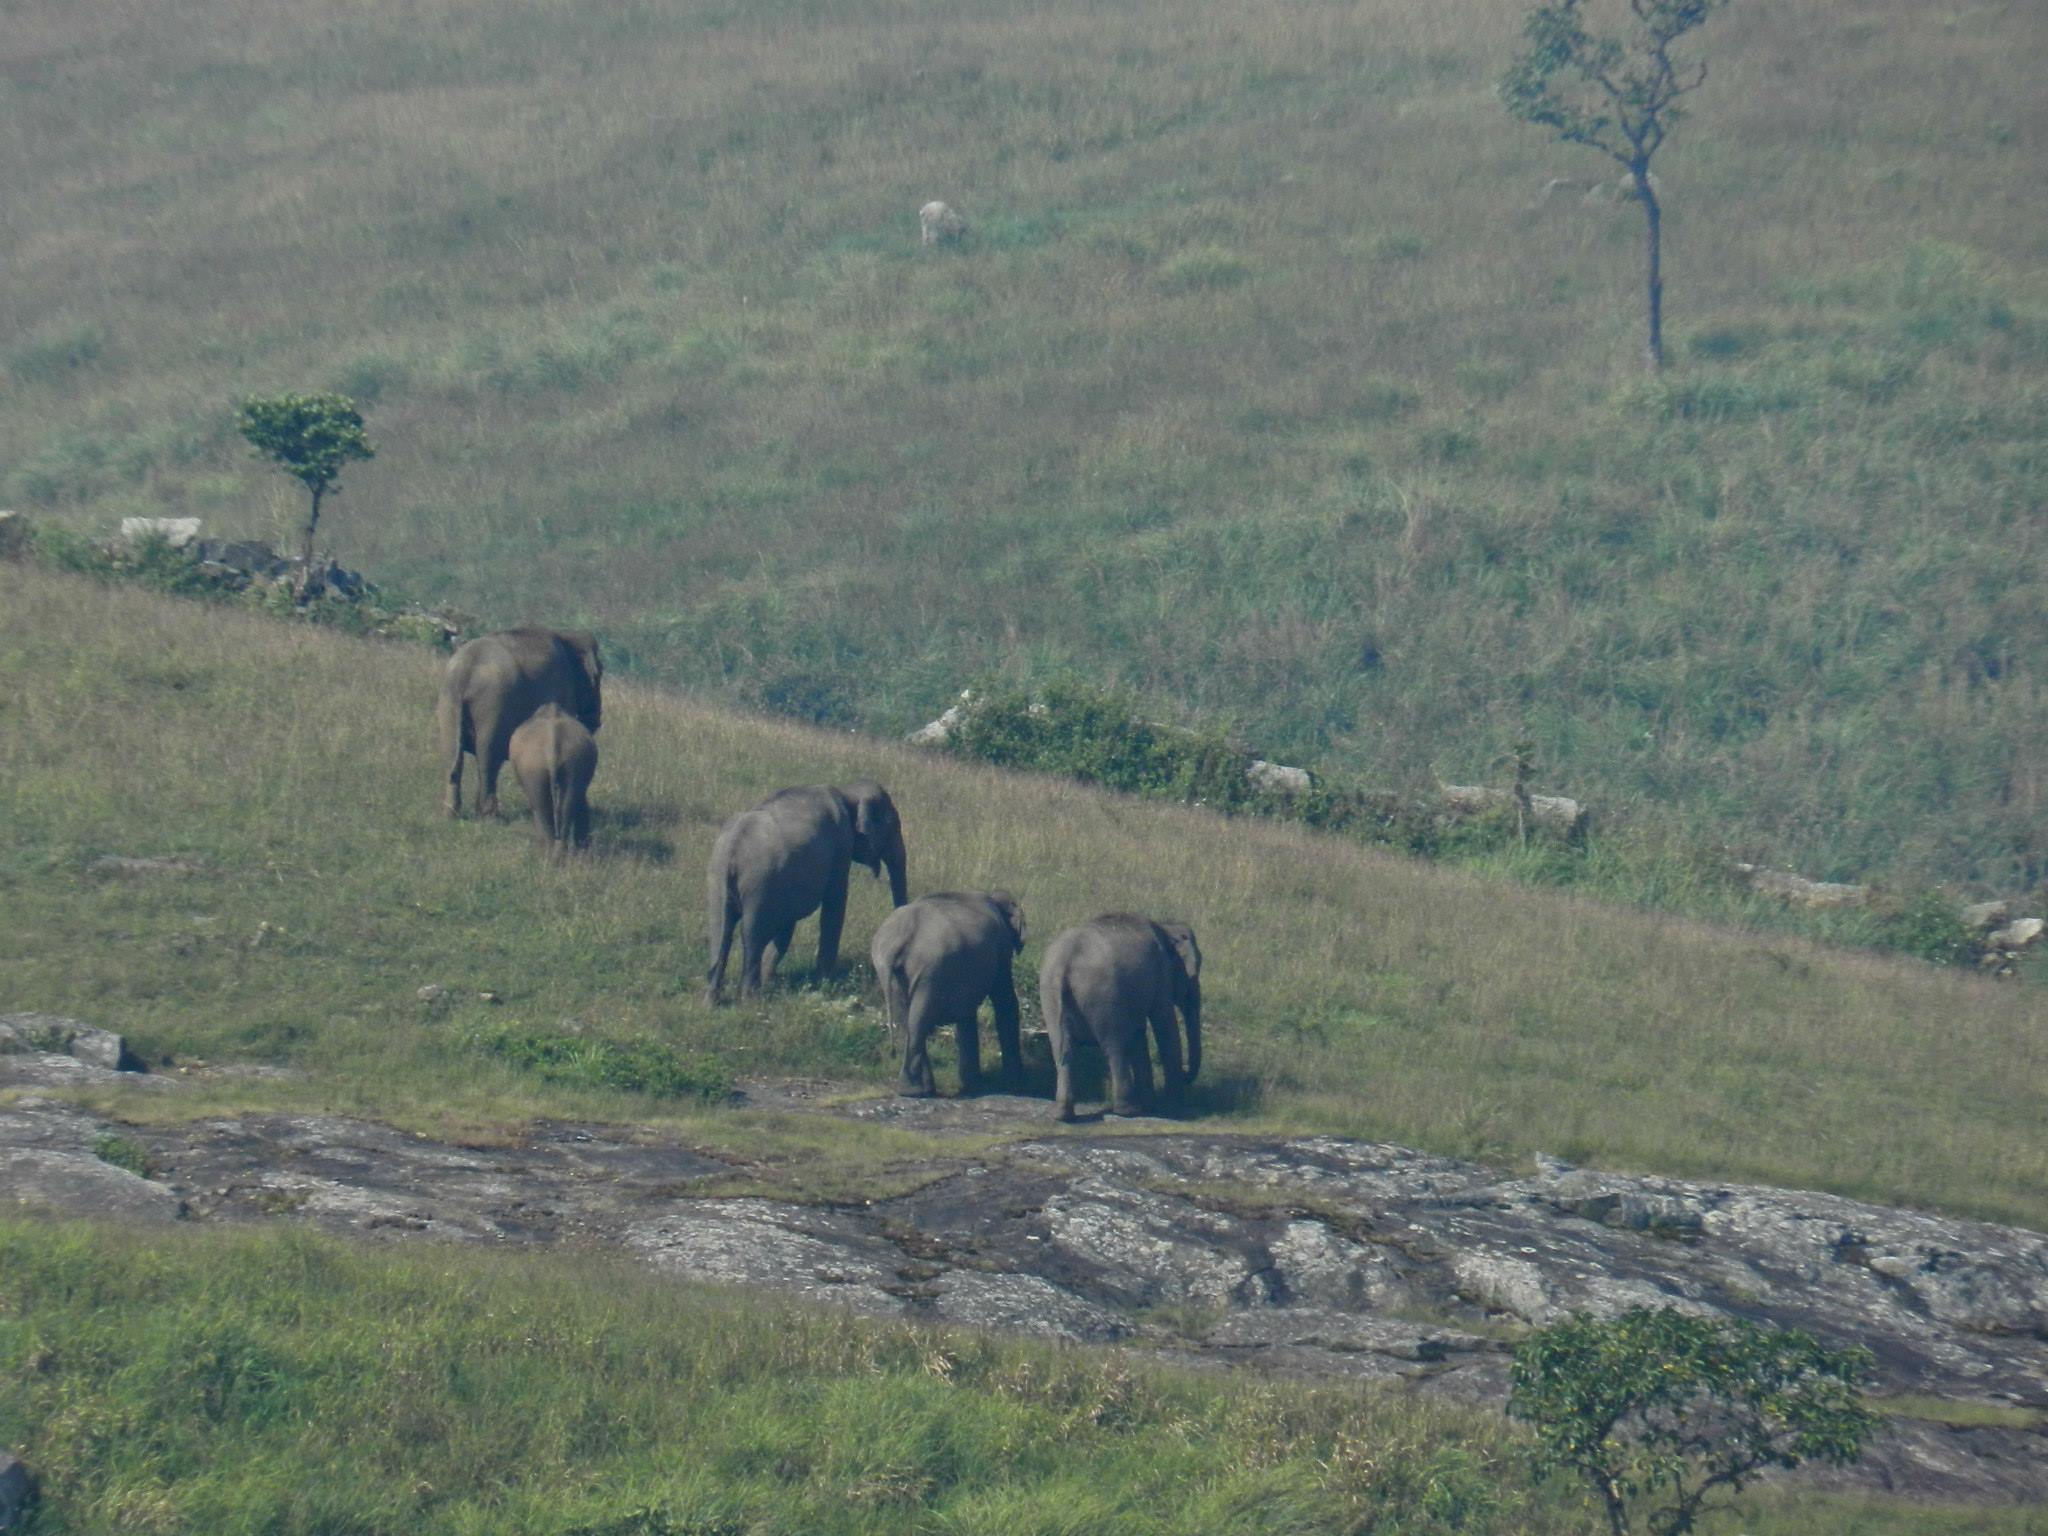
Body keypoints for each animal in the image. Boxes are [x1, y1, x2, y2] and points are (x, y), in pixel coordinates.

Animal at [438, 627, 602, 819]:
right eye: (599, 674)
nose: (597, 721)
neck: (567, 636)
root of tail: (465, 673)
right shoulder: (564, 688)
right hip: (494, 704)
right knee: (488, 759)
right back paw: (490, 817)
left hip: (448, 702)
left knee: (451, 756)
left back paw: (451, 815)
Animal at [506, 704, 597, 860]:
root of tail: (553, 741)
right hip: (575, 761)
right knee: (567, 804)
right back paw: (560, 854)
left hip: (534, 766)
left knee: (541, 806)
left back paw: (548, 854)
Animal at [705, 782, 908, 1002]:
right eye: (894, 827)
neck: (847, 790)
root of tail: (733, 847)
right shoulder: (840, 846)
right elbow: (834, 905)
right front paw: (824, 982)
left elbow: (787, 925)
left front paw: (771, 981)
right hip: (757, 884)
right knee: (751, 934)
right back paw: (751, 1000)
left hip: (717, 879)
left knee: (720, 930)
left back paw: (712, 1002)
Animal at [871, 891, 1026, 1098]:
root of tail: (900, 938)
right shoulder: (1001, 947)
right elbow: (1005, 1002)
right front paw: (1013, 1085)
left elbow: (968, 1016)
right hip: (931, 971)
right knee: (918, 1021)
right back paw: (915, 1091)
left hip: (894, 974)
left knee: (907, 1021)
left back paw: (917, 1090)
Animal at [1039, 914, 1201, 1121]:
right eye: (1194, 973)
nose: (1186, 1071)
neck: (1167, 927)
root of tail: (1064, 963)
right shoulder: (1161, 975)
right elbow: (1164, 1024)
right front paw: (1173, 1107)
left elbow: (1140, 1033)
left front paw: (1152, 1105)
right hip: (1105, 998)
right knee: (1115, 1048)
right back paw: (1128, 1111)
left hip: (1050, 996)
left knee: (1062, 1050)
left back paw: (1060, 1114)